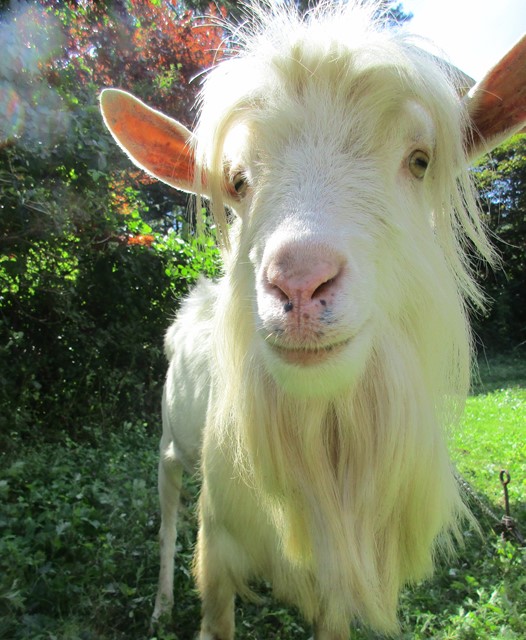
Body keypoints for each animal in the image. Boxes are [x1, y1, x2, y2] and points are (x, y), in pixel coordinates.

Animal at [100, 2, 526, 636]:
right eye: (237, 181)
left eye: (419, 160)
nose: (299, 283)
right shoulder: (215, 545)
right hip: (169, 446)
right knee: (168, 515)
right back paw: (161, 604)